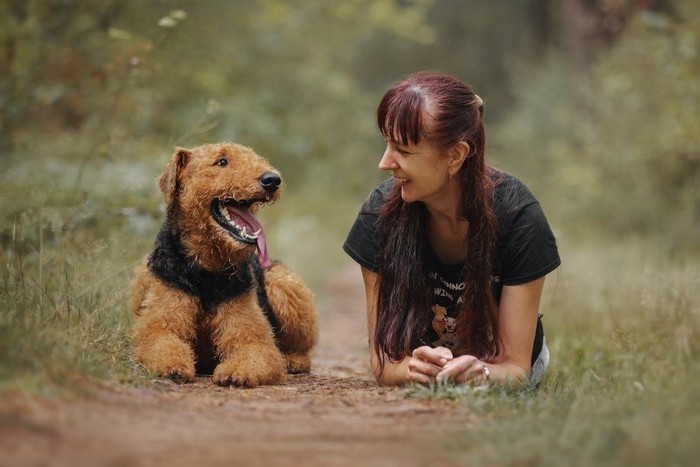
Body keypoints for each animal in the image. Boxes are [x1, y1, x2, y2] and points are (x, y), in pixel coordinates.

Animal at [130, 143, 318, 388]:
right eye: (222, 161)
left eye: (255, 157)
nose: (272, 179)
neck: (206, 268)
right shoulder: (160, 325)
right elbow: (161, 342)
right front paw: (174, 368)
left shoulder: (250, 337)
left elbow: (254, 351)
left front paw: (236, 373)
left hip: (282, 285)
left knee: (303, 349)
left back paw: (292, 360)